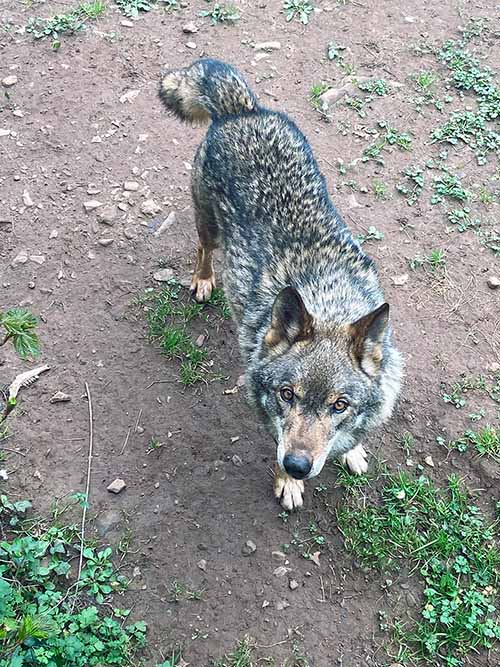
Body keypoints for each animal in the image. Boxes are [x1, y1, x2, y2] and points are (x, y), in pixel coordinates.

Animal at [159, 59, 403, 510]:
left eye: (339, 405)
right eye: (287, 394)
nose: (299, 466)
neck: (328, 298)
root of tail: (243, 110)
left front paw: (352, 452)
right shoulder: (268, 413)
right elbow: (275, 446)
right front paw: (286, 483)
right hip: (209, 229)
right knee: (202, 251)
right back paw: (203, 281)